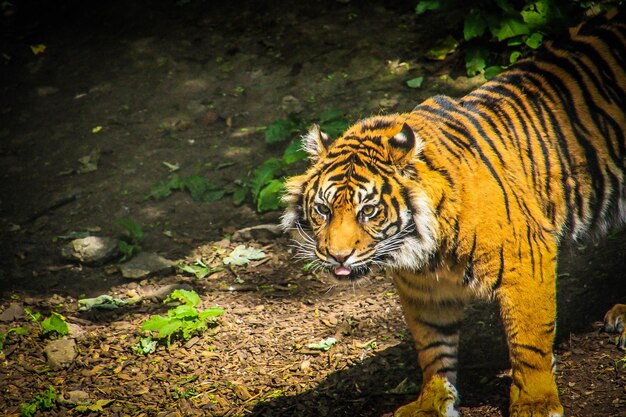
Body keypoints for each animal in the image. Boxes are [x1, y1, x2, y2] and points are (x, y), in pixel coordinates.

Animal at [282, 8, 624, 416]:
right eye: (322, 209)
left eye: (368, 210)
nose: (337, 255)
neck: (425, 250)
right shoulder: (424, 291)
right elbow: (433, 348)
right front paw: (432, 401)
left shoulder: (529, 260)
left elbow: (530, 340)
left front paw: (536, 401)